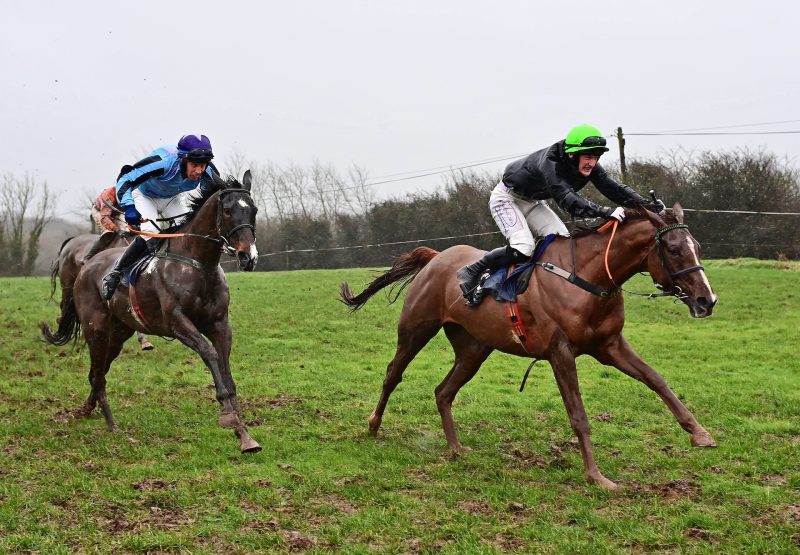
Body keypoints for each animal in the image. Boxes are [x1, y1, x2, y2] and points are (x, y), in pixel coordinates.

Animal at [40, 172, 260, 454]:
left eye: (253, 210)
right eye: (228, 210)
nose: (247, 256)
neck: (198, 264)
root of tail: (87, 266)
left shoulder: (220, 324)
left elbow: (226, 372)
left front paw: (244, 434)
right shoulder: (178, 323)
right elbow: (210, 354)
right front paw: (228, 415)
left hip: (118, 333)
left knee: (98, 373)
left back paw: (88, 409)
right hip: (95, 328)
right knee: (98, 375)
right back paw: (113, 425)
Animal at [340, 205, 716, 490]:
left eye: (698, 246)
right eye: (674, 249)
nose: (707, 300)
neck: (589, 277)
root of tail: (436, 257)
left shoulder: (610, 345)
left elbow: (656, 379)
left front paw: (699, 433)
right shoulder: (560, 352)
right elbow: (578, 415)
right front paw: (596, 477)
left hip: (474, 349)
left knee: (443, 391)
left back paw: (456, 448)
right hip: (416, 329)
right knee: (393, 373)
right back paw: (373, 425)